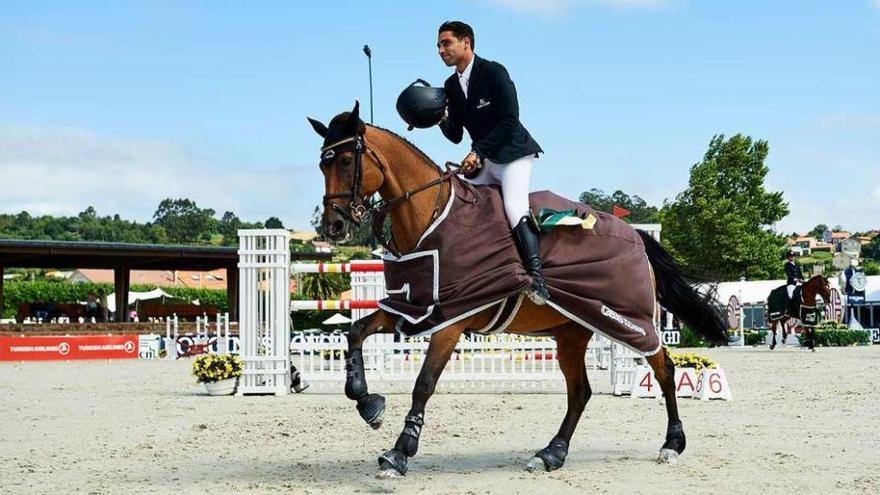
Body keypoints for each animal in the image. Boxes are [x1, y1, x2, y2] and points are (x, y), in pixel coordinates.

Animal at [306, 102, 724, 478]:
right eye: (322, 164)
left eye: (346, 161)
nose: (334, 226)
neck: (428, 215)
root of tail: (636, 235)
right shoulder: (411, 307)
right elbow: (356, 331)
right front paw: (368, 403)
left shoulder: (450, 321)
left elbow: (423, 384)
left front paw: (399, 452)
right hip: (572, 330)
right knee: (580, 391)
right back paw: (551, 454)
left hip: (631, 321)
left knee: (664, 368)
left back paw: (672, 444)